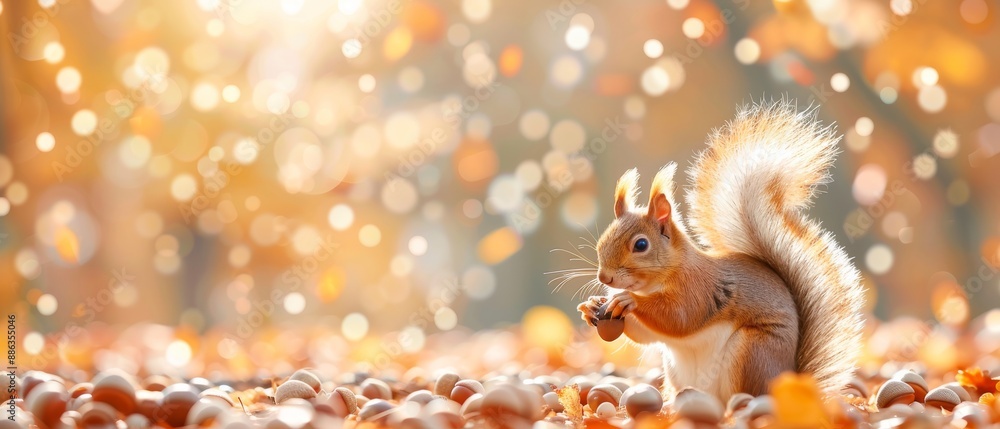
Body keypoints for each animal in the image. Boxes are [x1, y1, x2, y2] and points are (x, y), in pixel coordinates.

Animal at [578, 101, 864, 401]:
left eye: (641, 245)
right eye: (601, 241)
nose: (604, 278)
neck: (657, 281)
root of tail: (789, 382)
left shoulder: (700, 288)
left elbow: (679, 317)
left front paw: (629, 300)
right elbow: (645, 334)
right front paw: (590, 307)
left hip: (752, 352)